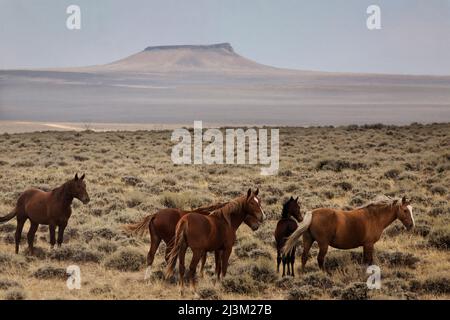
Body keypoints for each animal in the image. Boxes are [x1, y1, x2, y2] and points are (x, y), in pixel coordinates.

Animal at [284, 194, 414, 272]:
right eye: (405, 210)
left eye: (411, 209)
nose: (412, 225)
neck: (374, 217)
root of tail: (312, 213)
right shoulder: (369, 244)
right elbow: (368, 261)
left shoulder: (366, 245)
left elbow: (365, 261)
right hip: (323, 244)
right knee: (320, 259)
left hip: (308, 240)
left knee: (304, 257)